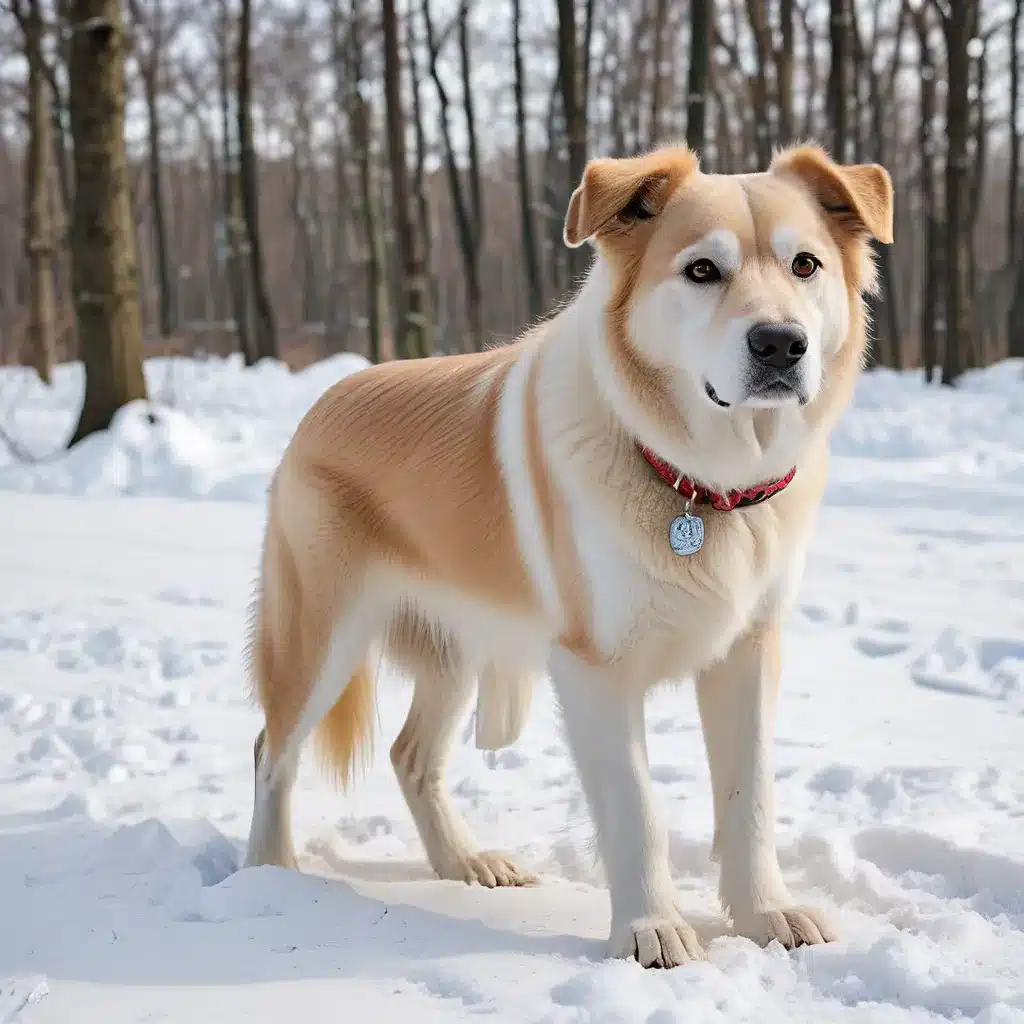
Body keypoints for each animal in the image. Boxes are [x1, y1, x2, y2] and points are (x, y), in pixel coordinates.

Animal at [243, 144, 892, 966]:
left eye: (805, 264)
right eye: (702, 271)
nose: (780, 343)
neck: (699, 485)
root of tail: (327, 398)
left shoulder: (748, 653)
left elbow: (751, 801)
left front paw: (764, 913)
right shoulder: (595, 670)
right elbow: (637, 810)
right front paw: (652, 931)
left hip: (457, 647)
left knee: (410, 756)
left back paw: (465, 864)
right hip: (322, 637)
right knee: (271, 750)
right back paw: (267, 874)